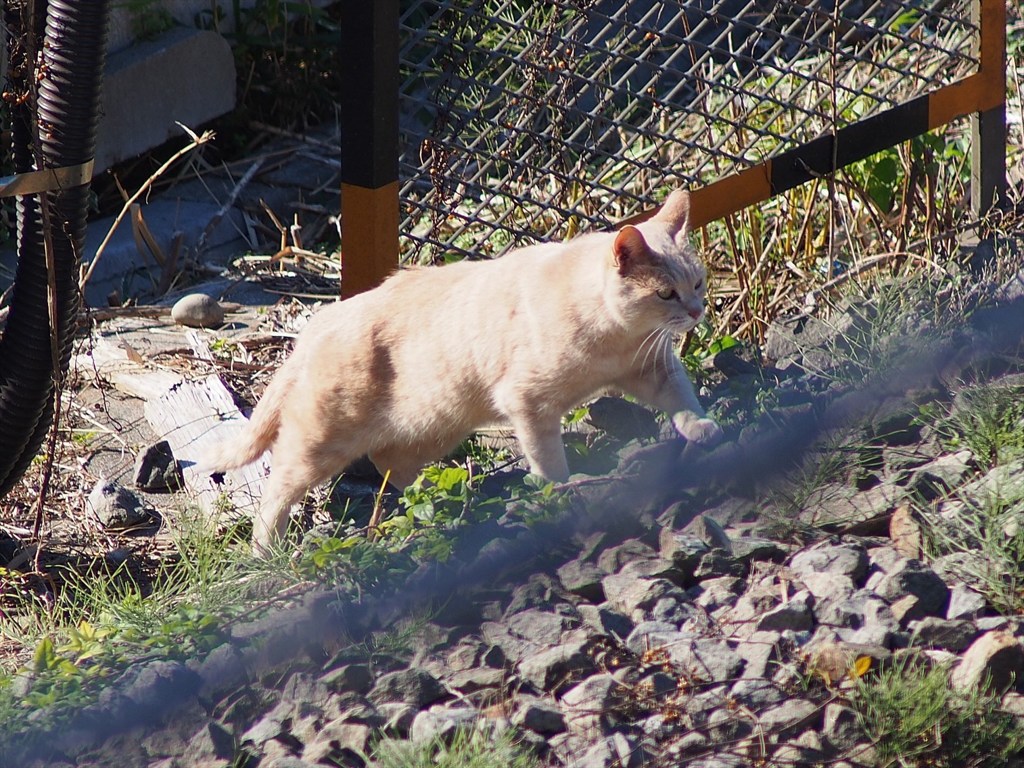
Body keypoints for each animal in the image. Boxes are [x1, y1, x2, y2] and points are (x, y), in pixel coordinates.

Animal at [203, 191, 724, 552]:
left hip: (433, 427)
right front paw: (560, 489)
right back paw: (266, 550)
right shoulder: (526, 401)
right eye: (665, 294)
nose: (697, 311)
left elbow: (682, 398)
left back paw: (453, 499)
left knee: (391, 464)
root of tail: (317, 324)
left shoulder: (653, 369)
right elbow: (547, 458)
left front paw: (701, 427)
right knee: (277, 487)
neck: (615, 336)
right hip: (321, 441)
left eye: (698, 283)